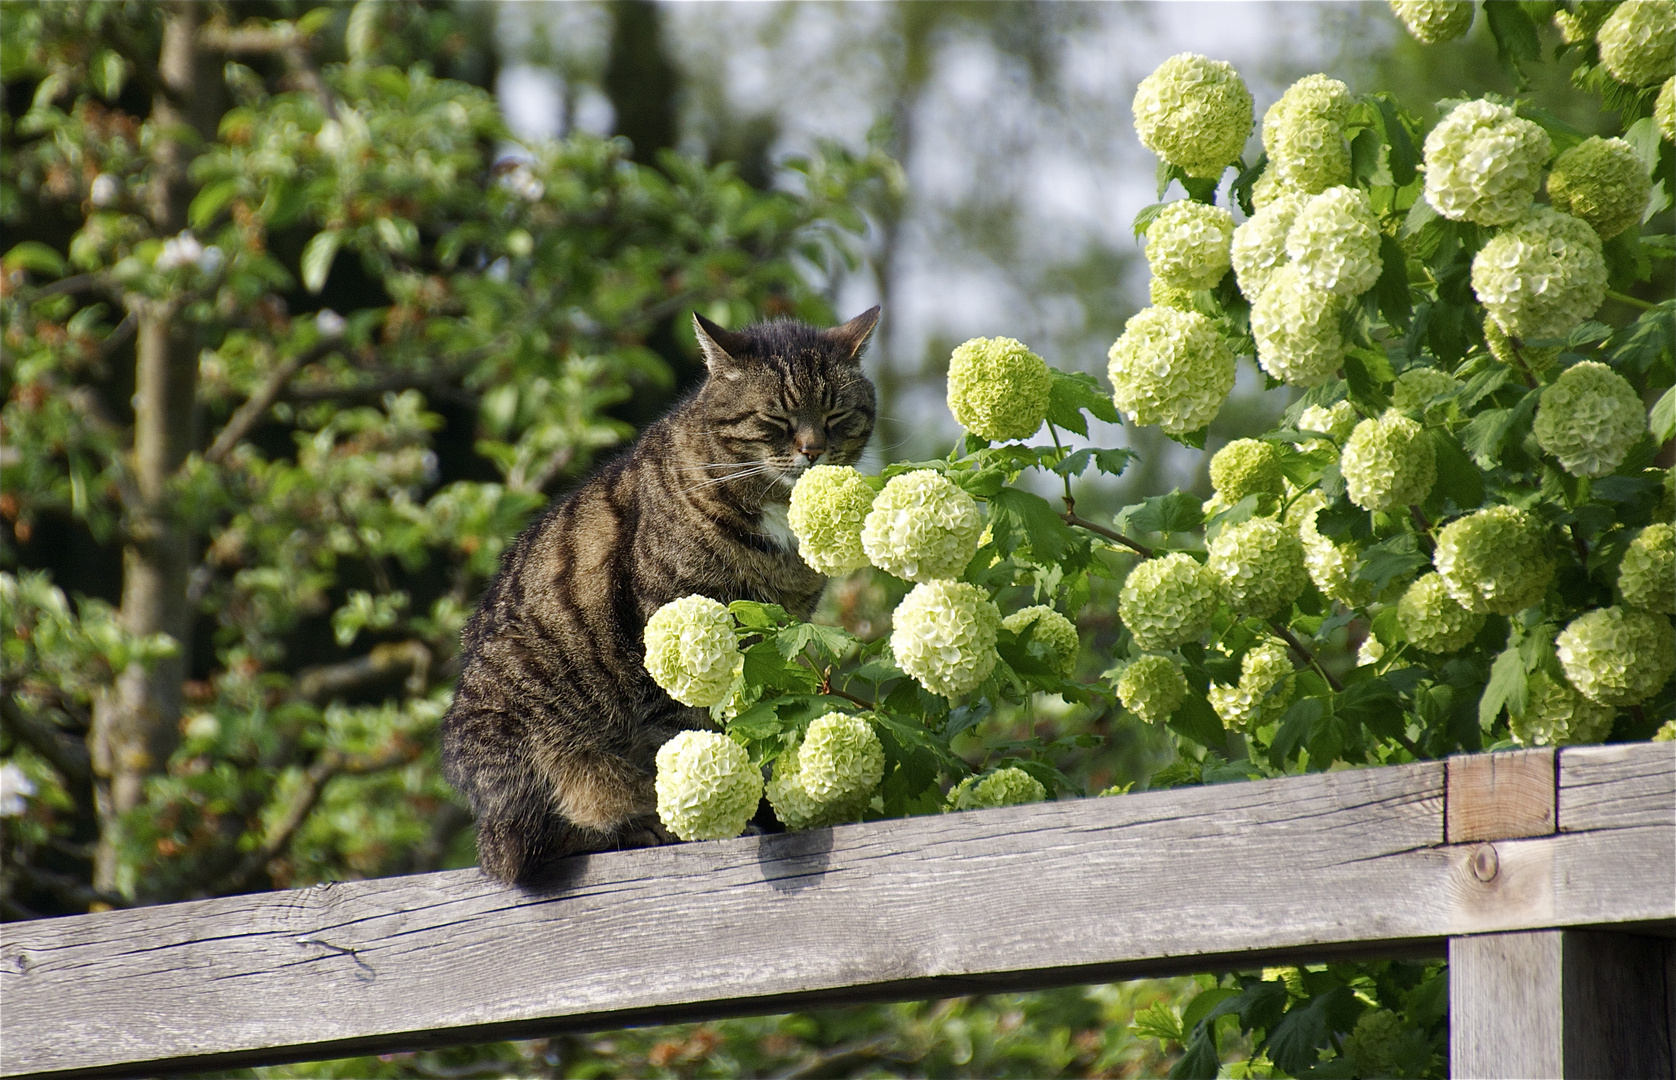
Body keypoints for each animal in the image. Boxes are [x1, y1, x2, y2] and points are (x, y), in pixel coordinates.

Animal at [439, 308, 884, 878]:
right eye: (777, 420)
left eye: (836, 415)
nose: (813, 450)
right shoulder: (671, 629)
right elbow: (688, 733)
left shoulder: (778, 633)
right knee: (535, 843)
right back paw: (635, 826)